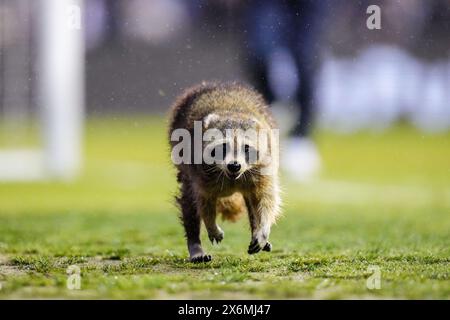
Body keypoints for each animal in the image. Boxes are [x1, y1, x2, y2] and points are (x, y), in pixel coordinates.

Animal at [169, 80, 282, 262]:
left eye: (246, 148)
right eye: (223, 147)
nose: (234, 166)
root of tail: (219, 85)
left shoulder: (264, 165)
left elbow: (266, 199)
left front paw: (263, 228)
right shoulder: (199, 170)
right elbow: (203, 200)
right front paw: (211, 225)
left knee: (253, 200)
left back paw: (256, 229)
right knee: (189, 200)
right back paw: (195, 244)